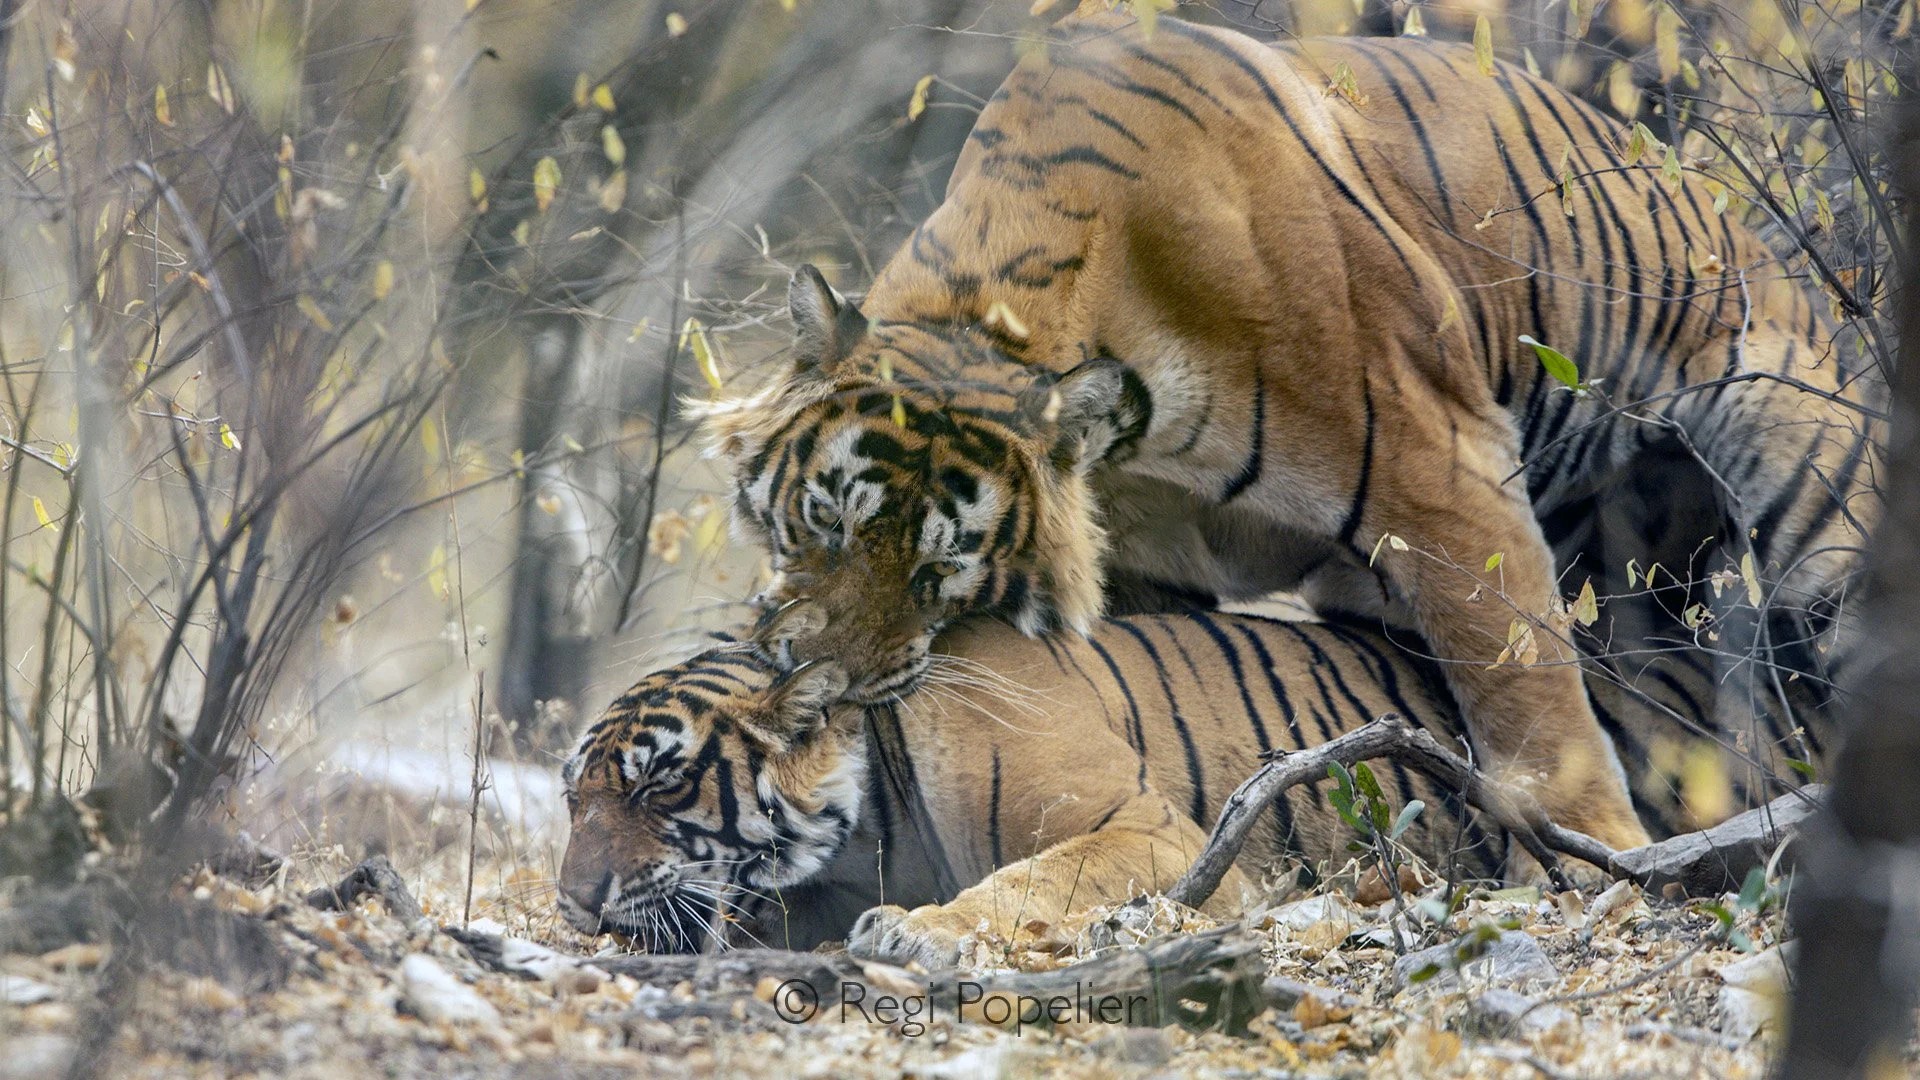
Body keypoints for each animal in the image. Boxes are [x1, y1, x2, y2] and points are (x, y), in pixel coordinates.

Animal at [557, 603, 1504, 968]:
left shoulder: (1150, 830)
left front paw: (916, 931)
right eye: (573, 800)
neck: (870, 824)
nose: (571, 903)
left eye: (657, 787)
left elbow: (1034, 877)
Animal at [695, 11, 1878, 862]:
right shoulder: (1146, 567)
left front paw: (1601, 854)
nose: (822, 682)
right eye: (819, 525)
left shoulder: (1440, 469)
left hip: (1814, 489)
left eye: (940, 570)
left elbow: (1525, 688)